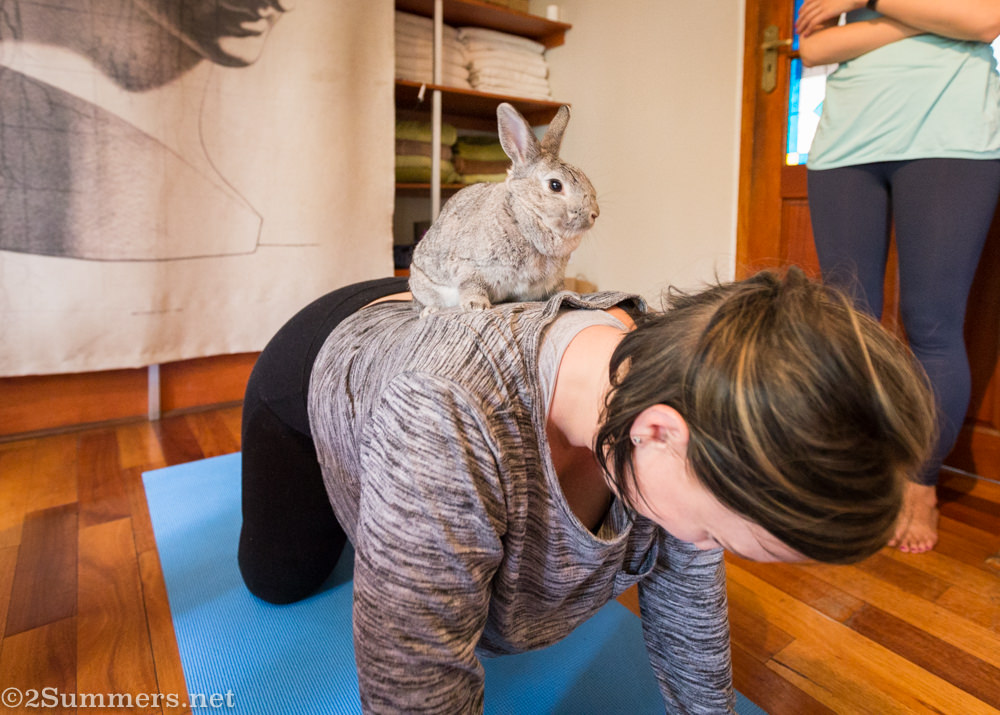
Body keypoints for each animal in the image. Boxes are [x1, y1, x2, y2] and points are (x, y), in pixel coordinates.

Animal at [408, 102, 599, 315]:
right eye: (555, 185)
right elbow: (471, 285)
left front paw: (570, 295)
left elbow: (556, 290)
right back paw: (430, 310)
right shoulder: (468, 266)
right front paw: (477, 306)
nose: (595, 214)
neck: (522, 216)